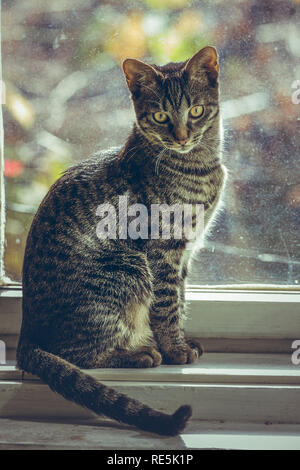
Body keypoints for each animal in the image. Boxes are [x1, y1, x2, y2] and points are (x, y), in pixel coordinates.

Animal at [17, 46, 225, 436]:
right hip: (127, 270)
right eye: (159, 116)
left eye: (196, 110)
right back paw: (138, 353)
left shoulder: (185, 254)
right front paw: (174, 349)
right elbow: (167, 305)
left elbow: (181, 300)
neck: (200, 167)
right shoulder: (162, 251)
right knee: (79, 354)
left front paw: (181, 339)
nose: (181, 137)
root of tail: (26, 333)